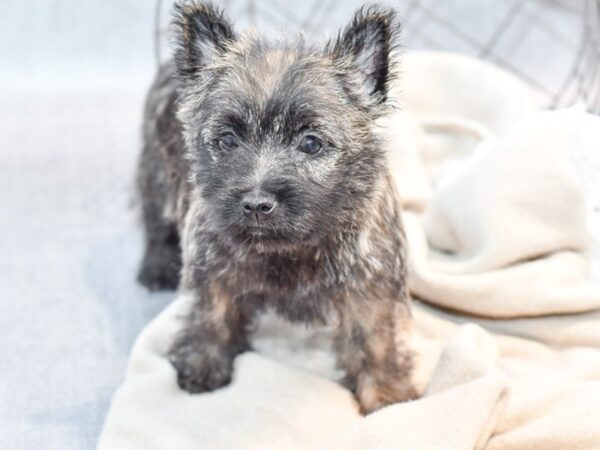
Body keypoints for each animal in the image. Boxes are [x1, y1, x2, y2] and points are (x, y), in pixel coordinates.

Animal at [138, 0, 414, 414]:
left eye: (311, 143)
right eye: (227, 140)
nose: (256, 203)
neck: (290, 250)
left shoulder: (369, 292)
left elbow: (375, 345)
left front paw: (387, 400)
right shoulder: (213, 273)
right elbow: (210, 319)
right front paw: (202, 368)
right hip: (155, 172)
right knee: (155, 222)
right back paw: (154, 268)